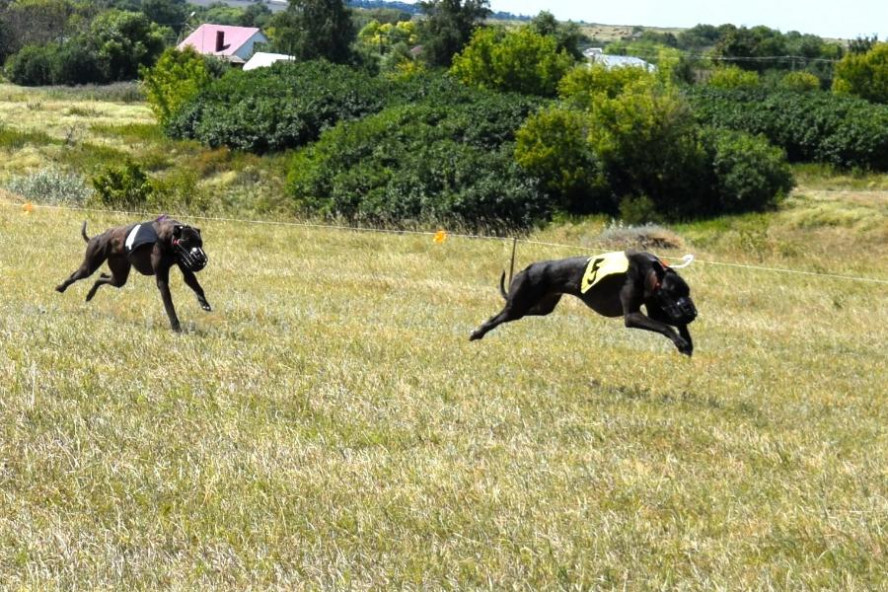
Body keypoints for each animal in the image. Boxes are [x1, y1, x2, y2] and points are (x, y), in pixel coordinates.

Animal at [57, 215, 213, 330]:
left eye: (199, 242)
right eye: (187, 241)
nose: (200, 257)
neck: (169, 236)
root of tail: (96, 237)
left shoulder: (184, 264)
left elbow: (193, 282)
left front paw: (204, 302)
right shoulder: (162, 278)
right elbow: (169, 304)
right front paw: (176, 326)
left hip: (119, 274)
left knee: (102, 278)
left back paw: (90, 294)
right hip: (89, 265)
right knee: (75, 276)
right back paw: (61, 287)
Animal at [468, 251, 696, 356]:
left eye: (687, 291)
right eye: (673, 291)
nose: (692, 311)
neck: (649, 271)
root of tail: (528, 268)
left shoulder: (655, 307)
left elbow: (671, 322)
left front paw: (686, 341)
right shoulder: (632, 315)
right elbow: (665, 326)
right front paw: (681, 342)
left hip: (541, 306)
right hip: (518, 304)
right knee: (498, 317)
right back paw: (477, 332)